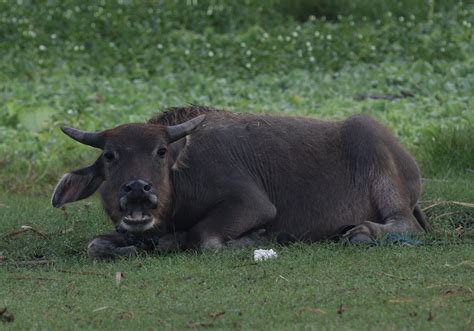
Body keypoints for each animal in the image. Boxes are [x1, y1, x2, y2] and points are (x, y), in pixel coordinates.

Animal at [52, 107, 430, 258]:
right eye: (110, 155)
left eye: (160, 151)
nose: (137, 189)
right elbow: (94, 246)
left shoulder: (251, 204)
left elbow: (206, 239)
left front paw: (257, 239)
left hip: (379, 163)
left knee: (405, 224)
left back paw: (362, 232)